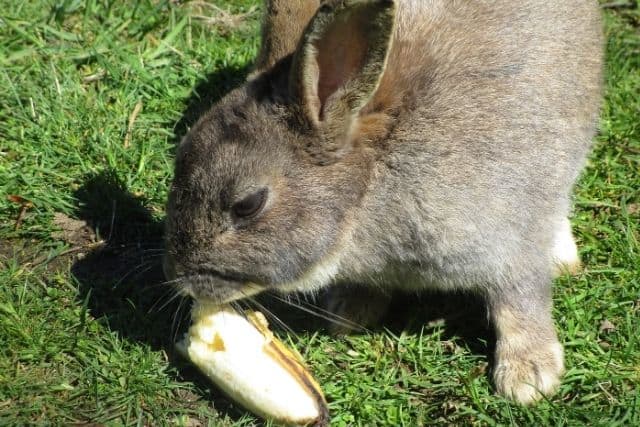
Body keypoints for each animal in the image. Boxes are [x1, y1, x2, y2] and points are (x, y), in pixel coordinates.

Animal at [164, 0, 603, 405]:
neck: (368, 188)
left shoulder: (509, 240)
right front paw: (349, 313)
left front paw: (528, 378)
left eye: (248, 204)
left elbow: (520, 300)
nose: (181, 280)